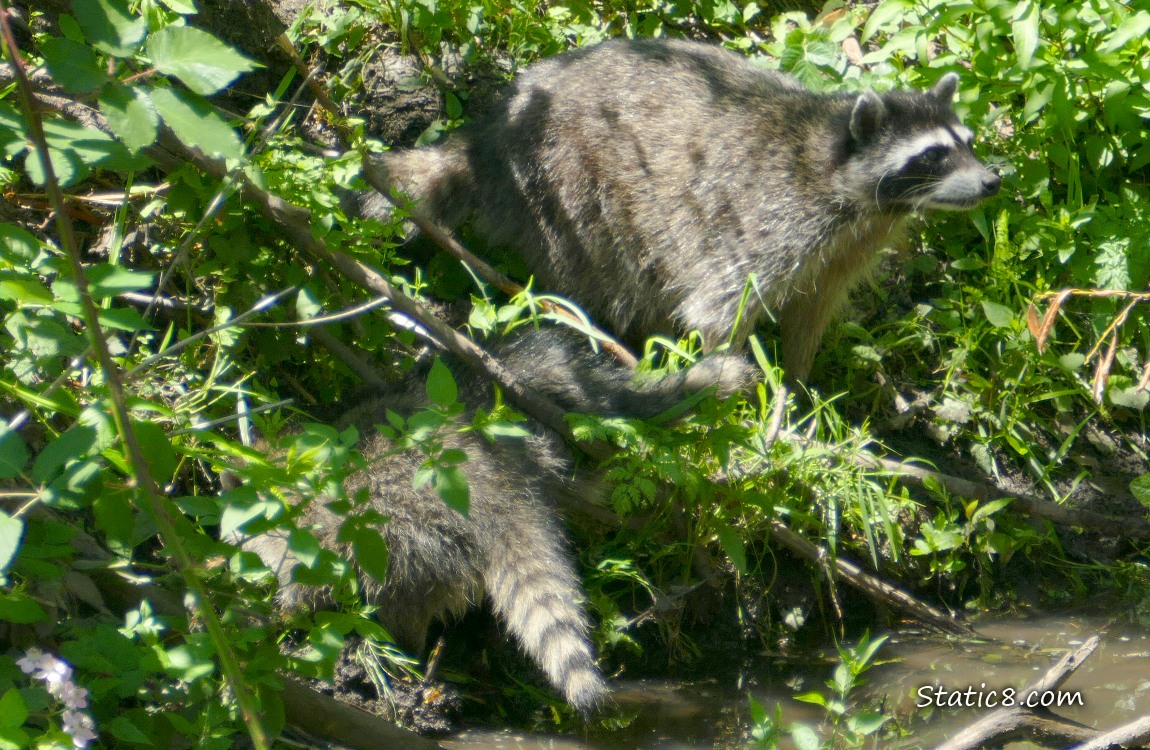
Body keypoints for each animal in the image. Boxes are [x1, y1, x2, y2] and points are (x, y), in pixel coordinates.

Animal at [241, 327, 756, 715]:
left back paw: (398, 653)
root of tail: (493, 491)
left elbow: (303, 586)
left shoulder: (311, 538)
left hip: (406, 538)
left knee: (402, 599)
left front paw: (280, 613)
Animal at [358, 38, 1001, 379]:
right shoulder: (770, 223)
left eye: (967, 142)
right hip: (567, 185)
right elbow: (718, 312)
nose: (993, 181)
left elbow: (812, 308)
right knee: (608, 268)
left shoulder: (846, 245)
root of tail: (491, 132)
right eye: (933, 155)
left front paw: (798, 385)